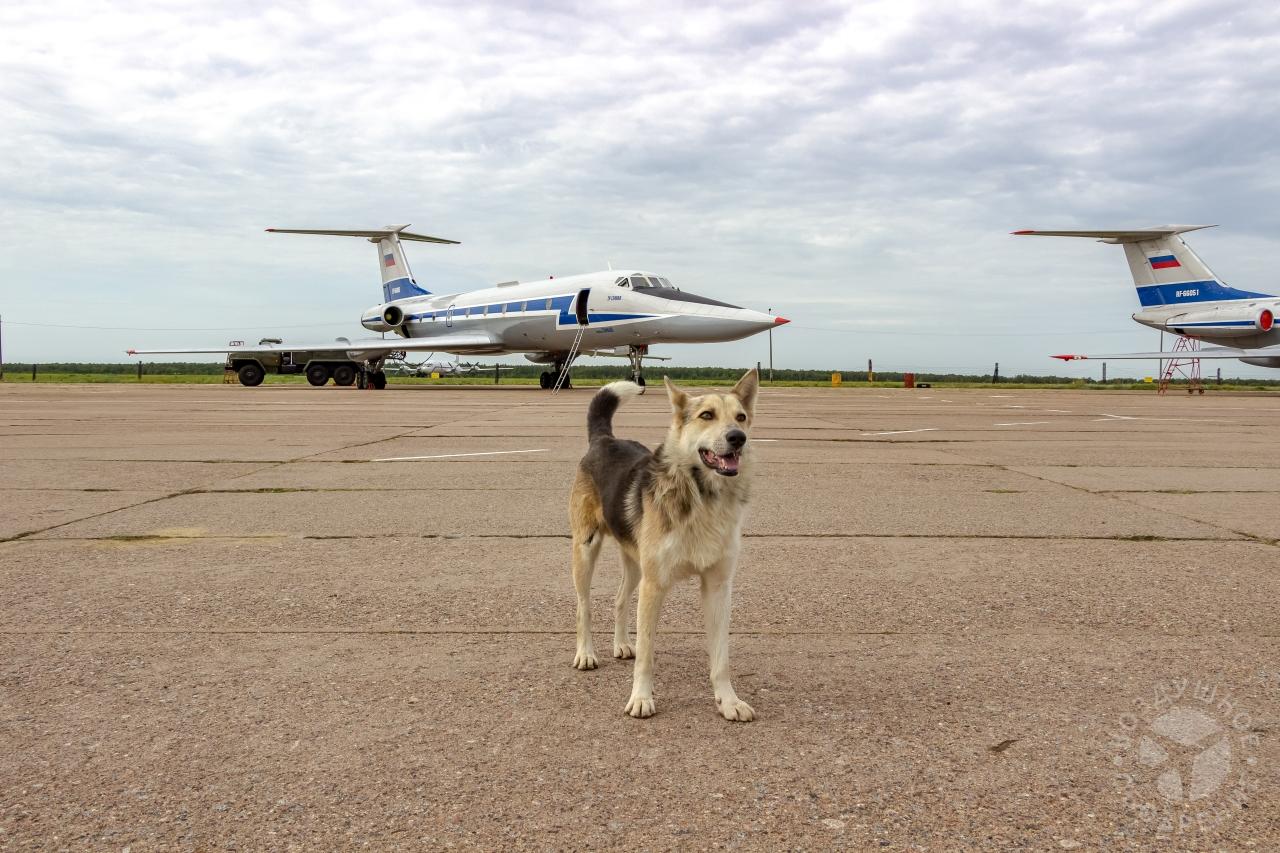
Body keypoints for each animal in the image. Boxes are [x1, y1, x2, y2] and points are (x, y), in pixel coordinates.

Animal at [569, 369, 759, 721]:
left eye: (740, 417)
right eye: (706, 415)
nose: (738, 437)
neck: (702, 497)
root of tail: (605, 440)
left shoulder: (717, 587)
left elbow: (721, 658)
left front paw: (728, 701)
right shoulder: (654, 585)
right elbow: (647, 654)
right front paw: (641, 698)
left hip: (635, 564)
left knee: (619, 599)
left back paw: (620, 644)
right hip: (586, 550)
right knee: (583, 606)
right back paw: (586, 653)